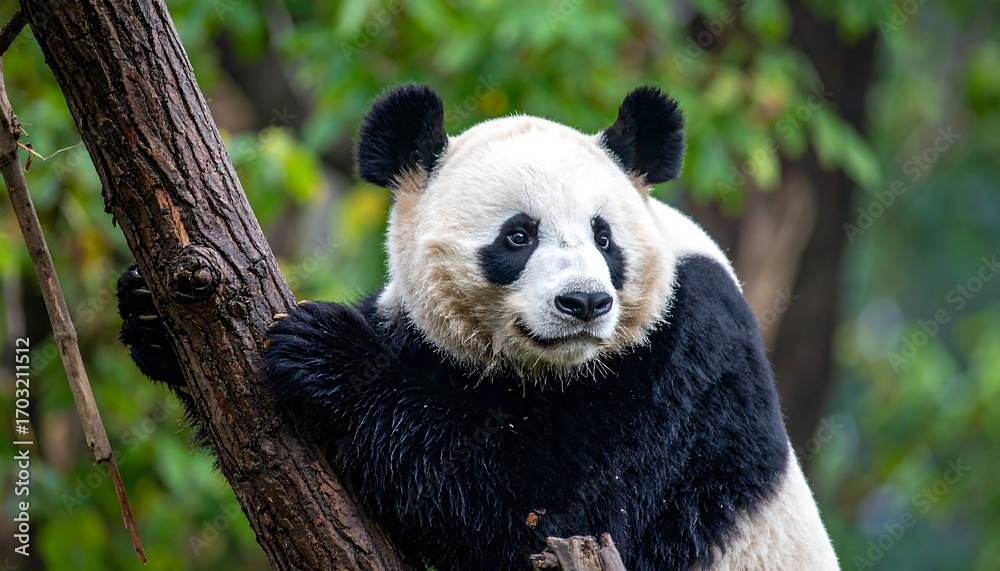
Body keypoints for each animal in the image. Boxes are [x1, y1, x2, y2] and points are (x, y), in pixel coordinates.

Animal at [117, 84, 839, 570]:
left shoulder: (679, 361)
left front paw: (331, 355)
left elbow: (546, 511)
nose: (584, 303)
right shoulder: (418, 330)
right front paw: (150, 313)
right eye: (519, 235)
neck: (543, 372)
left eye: (605, 237)